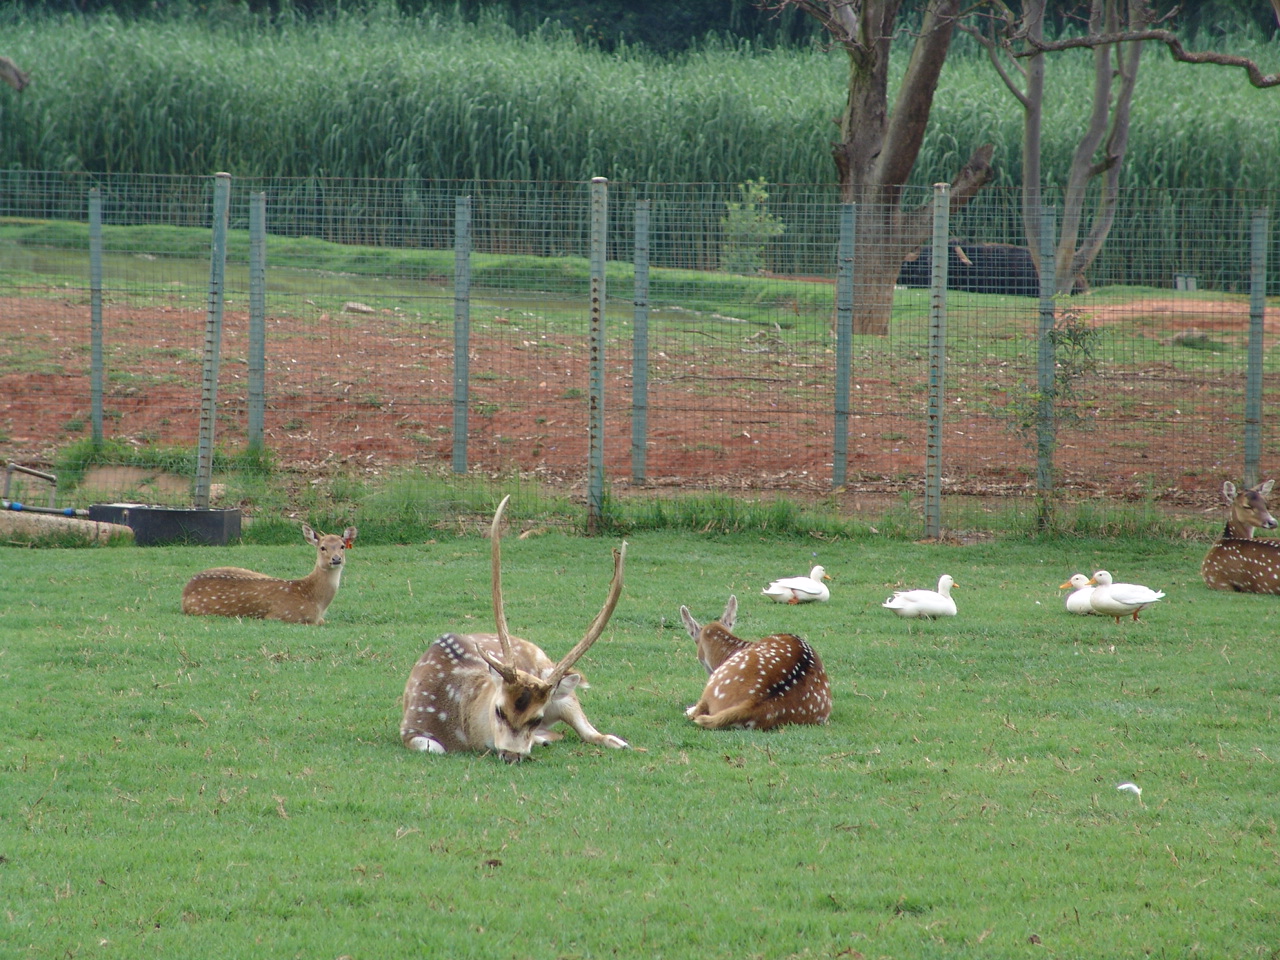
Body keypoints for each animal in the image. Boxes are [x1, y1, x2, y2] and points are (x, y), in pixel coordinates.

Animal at [400, 495, 628, 762]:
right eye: (499, 710)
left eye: (536, 718)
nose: (511, 755)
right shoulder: (411, 726)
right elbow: (432, 747)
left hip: (560, 689)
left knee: (592, 733)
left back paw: (618, 742)